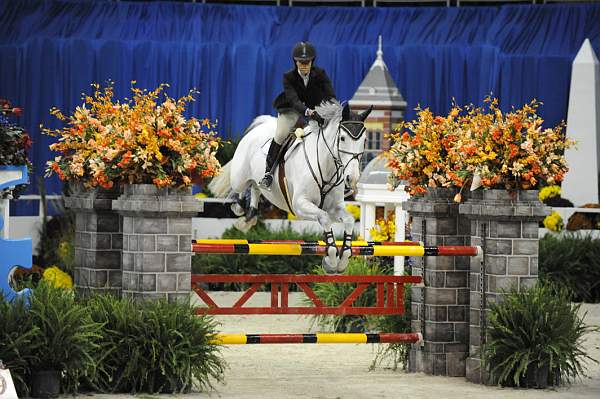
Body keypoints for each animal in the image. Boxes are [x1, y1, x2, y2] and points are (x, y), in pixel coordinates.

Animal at [210, 101, 370, 276]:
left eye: (364, 140)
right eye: (342, 138)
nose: (352, 178)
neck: (325, 166)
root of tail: (261, 126)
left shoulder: (334, 207)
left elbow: (348, 220)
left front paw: (342, 262)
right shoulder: (300, 205)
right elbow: (325, 218)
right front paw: (331, 261)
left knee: (255, 186)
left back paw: (250, 215)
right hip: (239, 177)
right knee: (242, 186)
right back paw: (240, 209)